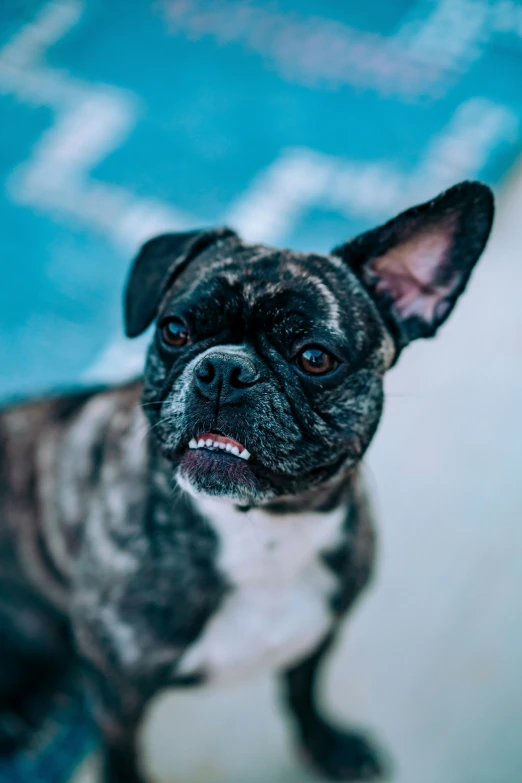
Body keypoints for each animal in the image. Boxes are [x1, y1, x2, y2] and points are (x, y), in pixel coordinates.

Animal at [0, 181, 492, 780]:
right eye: (174, 330)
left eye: (315, 357)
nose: (224, 369)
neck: (261, 530)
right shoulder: (119, 697)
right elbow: (123, 757)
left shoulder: (316, 637)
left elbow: (303, 694)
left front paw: (327, 746)